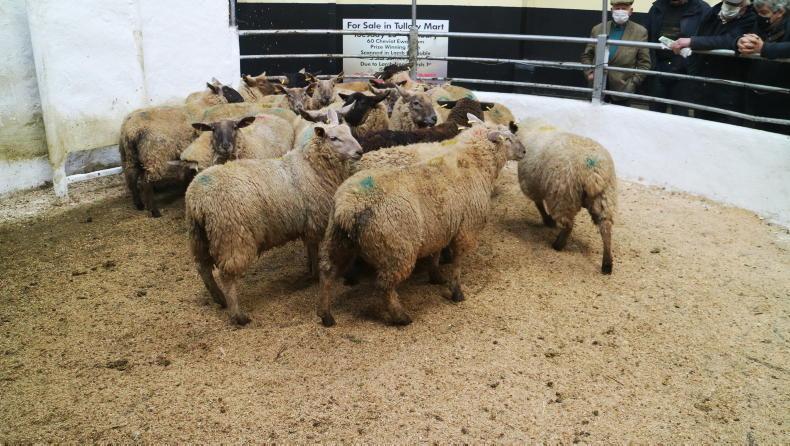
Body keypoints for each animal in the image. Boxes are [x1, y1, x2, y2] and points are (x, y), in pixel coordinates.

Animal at [119, 80, 242, 217]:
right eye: (226, 90)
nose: (242, 99)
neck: (205, 105)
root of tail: (131, 130)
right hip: (154, 156)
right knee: (146, 182)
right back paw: (154, 211)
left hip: (130, 156)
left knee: (131, 178)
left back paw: (139, 204)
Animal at [184, 110, 363, 325]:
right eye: (334, 138)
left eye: (349, 131)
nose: (360, 151)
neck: (312, 165)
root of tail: (197, 199)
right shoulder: (316, 219)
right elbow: (315, 249)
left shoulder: (308, 223)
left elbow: (310, 248)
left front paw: (311, 272)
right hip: (232, 237)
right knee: (227, 276)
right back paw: (238, 315)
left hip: (198, 235)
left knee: (202, 267)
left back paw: (219, 298)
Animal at [316, 116, 526, 326]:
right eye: (507, 138)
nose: (524, 151)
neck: (472, 161)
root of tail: (350, 208)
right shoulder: (466, 230)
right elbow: (457, 264)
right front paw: (456, 291)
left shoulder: (441, 226)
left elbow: (436, 254)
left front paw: (436, 276)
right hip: (398, 250)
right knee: (384, 285)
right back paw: (400, 316)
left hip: (336, 239)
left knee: (327, 273)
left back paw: (326, 315)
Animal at [515, 118, 617, 275]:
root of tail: (592, 169)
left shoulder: (531, 185)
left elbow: (538, 203)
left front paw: (548, 221)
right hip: (604, 197)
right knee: (605, 228)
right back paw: (607, 264)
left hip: (563, 197)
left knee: (568, 225)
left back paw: (558, 245)